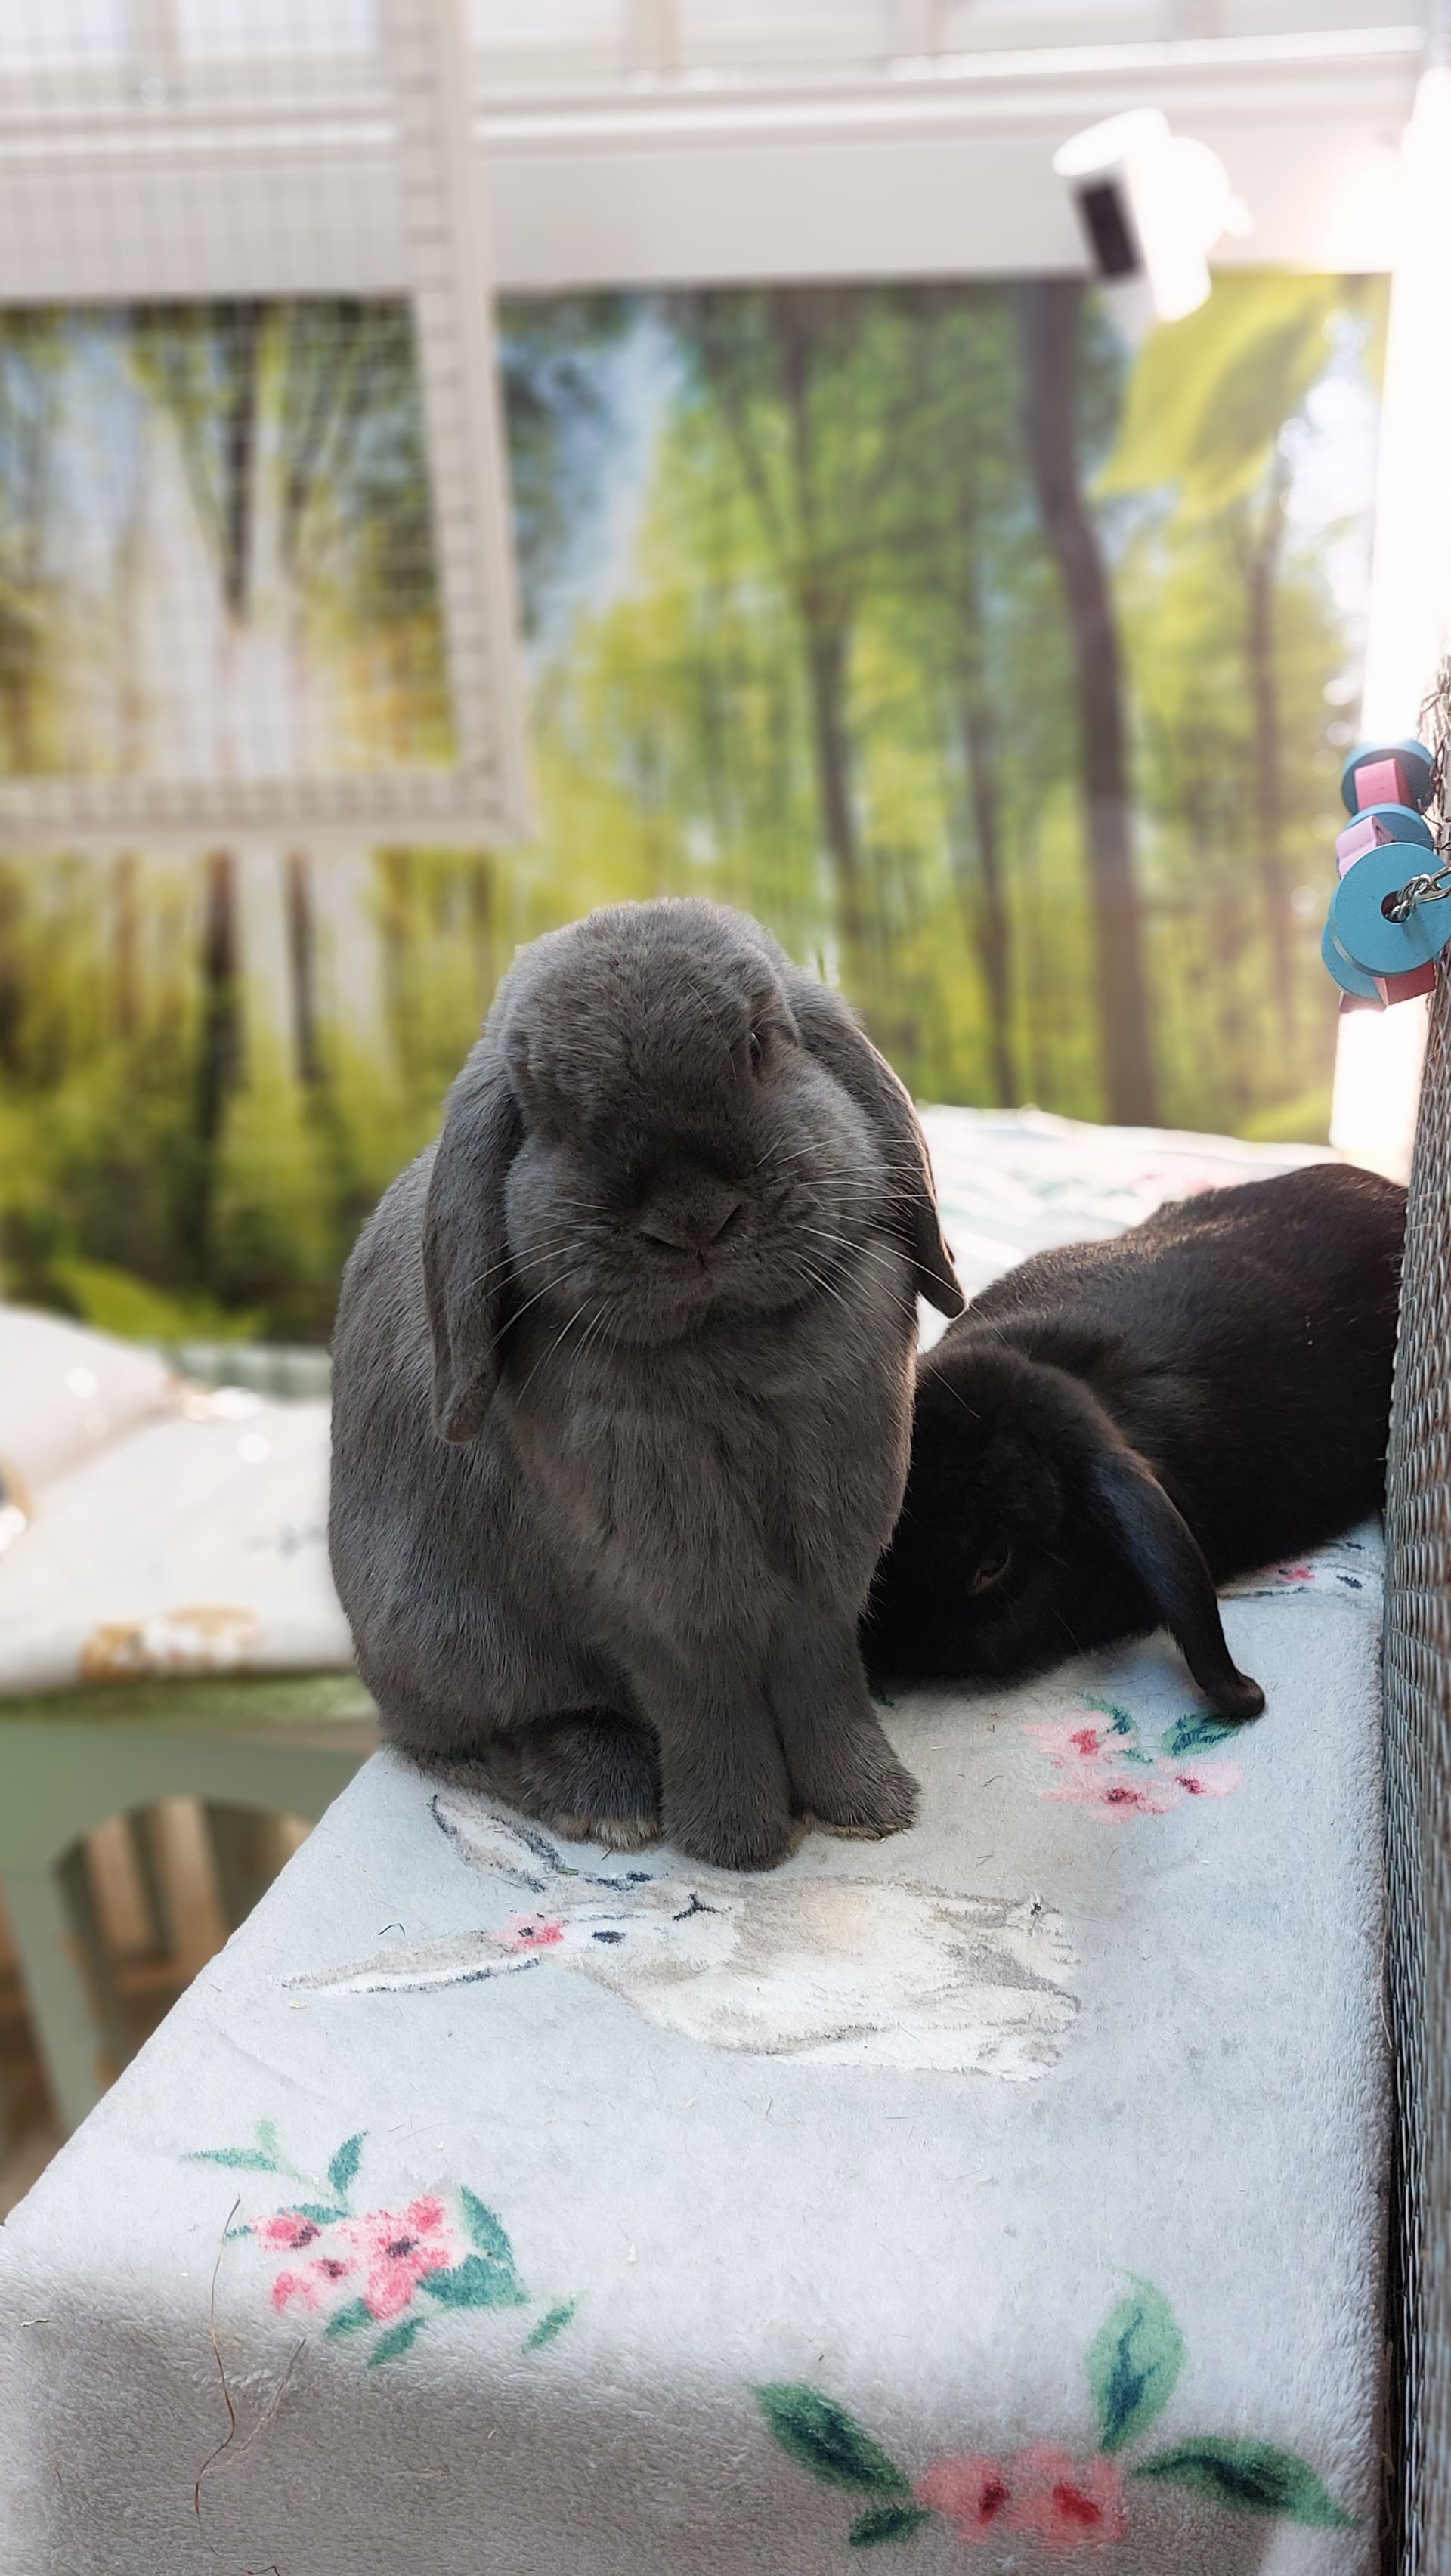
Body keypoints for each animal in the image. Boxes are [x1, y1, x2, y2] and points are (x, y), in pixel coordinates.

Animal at [283, 1791, 1079, 2078]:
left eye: (628, 1879)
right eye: (605, 1938)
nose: (688, 1903)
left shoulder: (908, 1921)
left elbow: (979, 1937)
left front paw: (1052, 1951)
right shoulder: (859, 2014)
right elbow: (969, 2005)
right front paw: (1054, 2021)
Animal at [328, 898, 964, 1876]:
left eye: (760, 1045)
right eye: (548, 1108)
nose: (693, 1217)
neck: (723, 1344)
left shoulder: (821, 1581)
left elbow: (824, 1684)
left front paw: (871, 1809)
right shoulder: (656, 1594)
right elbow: (707, 1703)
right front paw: (738, 1847)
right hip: (445, 1639)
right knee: (478, 1737)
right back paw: (608, 1796)